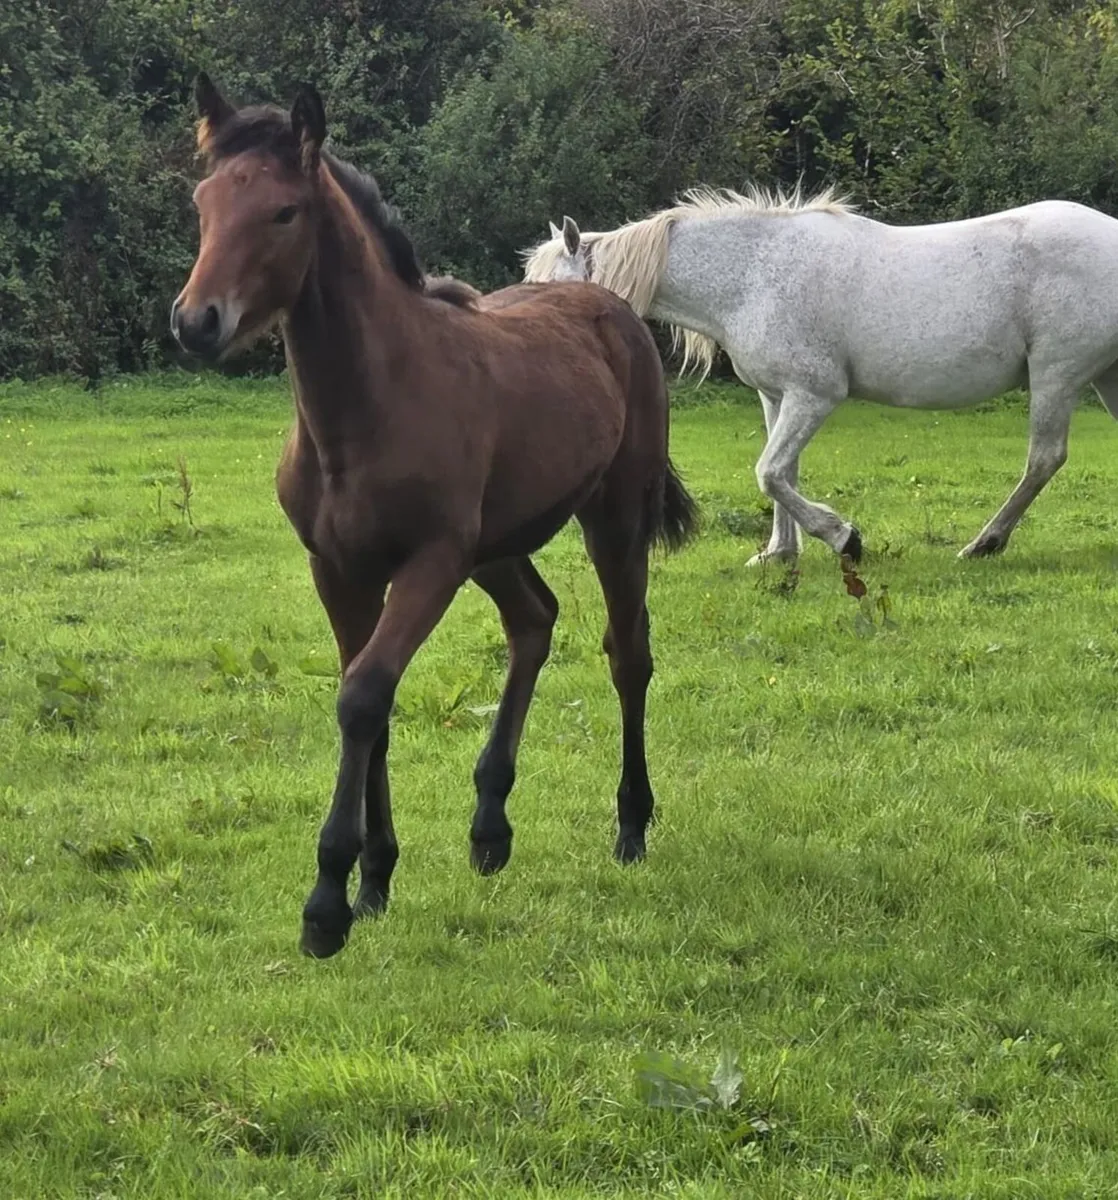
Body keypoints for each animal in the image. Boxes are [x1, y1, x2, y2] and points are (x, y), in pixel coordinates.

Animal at [171, 76, 698, 959]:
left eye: (283, 212)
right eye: (204, 204)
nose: (194, 321)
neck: (364, 408)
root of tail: (609, 304)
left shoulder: (431, 566)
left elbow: (362, 697)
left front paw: (327, 903)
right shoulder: (339, 571)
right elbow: (368, 700)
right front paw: (375, 878)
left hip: (612, 520)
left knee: (628, 653)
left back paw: (630, 826)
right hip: (496, 545)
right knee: (534, 619)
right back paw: (489, 827)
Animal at [524, 189, 1118, 565]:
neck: (752, 274)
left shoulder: (814, 395)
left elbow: (769, 472)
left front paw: (843, 538)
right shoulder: (776, 396)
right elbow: (781, 472)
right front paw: (779, 553)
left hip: (1056, 375)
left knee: (1043, 459)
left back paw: (986, 543)